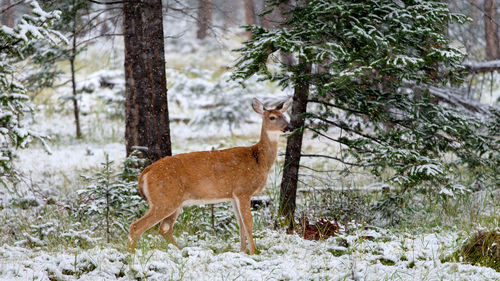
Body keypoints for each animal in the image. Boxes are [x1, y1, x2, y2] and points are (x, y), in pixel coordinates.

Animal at [127, 97, 294, 254]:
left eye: (285, 116)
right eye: (272, 117)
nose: (290, 127)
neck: (258, 160)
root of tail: (144, 174)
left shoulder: (233, 195)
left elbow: (240, 223)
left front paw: (243, 251)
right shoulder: (243, 190)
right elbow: (248, 222)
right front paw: (253, 252)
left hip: (173, 201)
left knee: (164, 228)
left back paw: (180, 250)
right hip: (164, 199)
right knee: (137, 226)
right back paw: (131, 254)